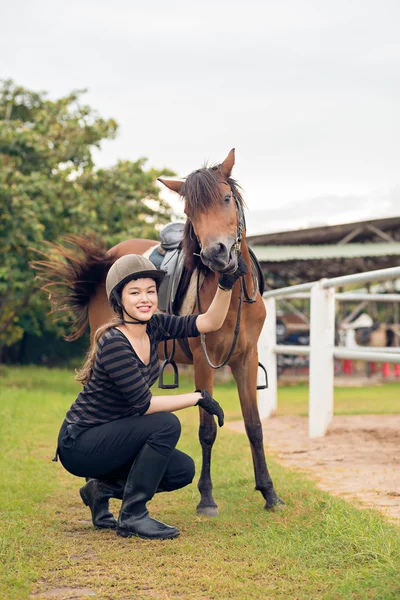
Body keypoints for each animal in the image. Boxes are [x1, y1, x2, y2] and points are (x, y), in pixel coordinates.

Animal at [35, 149, 284, 516]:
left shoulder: (246, 359)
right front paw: (206, 499)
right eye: (190, 212)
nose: (216, 254)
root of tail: (106, 258)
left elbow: (254, 426)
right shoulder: (203, 362)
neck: (233, 298)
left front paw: (269, 492)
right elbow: (207, 429)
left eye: (226, 199)